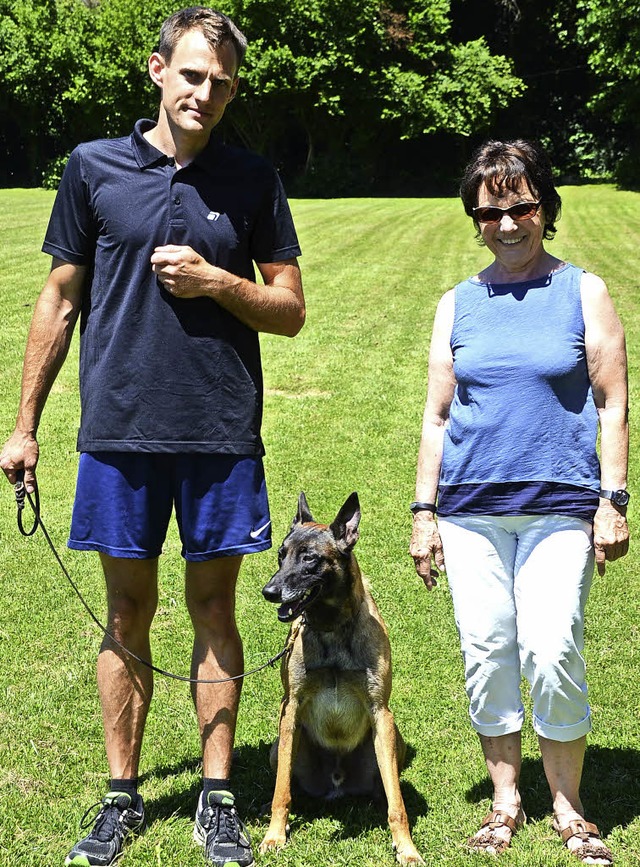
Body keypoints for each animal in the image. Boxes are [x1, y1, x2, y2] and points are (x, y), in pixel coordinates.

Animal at [258, 492, 422, 864]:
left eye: (310, 559)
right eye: (281, 554)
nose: (269, 591)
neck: (331, 628)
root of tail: (337, 784)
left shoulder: (380, 711)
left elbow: (397, 804)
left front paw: (406, 848)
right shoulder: (290, 708)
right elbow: (281, 791)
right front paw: (275, 834)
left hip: (392, 738)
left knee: (388, 786)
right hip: (278, 747)